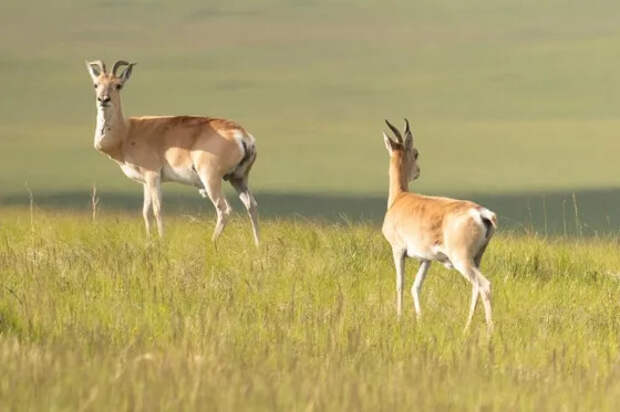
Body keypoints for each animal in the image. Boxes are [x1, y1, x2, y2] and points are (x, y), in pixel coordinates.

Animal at [85, 58, 260, 245]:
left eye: (118, 85)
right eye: (96, 84)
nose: (103, 99)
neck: (128, 130)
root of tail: (241, 134)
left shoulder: (153, 177)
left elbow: (157, 209)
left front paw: (161, 240)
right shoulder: (145, 182)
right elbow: (146, 212)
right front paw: (149, 241)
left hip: (211, 179)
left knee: (224, 209)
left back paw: (211, 242)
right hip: (238, 179)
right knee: (252, 205)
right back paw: (258, 245)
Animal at [380, 119, 496, 332]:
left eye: (416, 152)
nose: (418, 172)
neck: (400, 199)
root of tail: (480, 213)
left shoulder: (397, 250)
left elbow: (400, 284)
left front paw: (399, 318)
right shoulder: (426, 259)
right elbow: (416, 286)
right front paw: (419, 319)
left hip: (462, 261)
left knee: (484, 285)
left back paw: (488, 329)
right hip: (476, 259)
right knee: (475, 289)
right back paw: (467, 326)